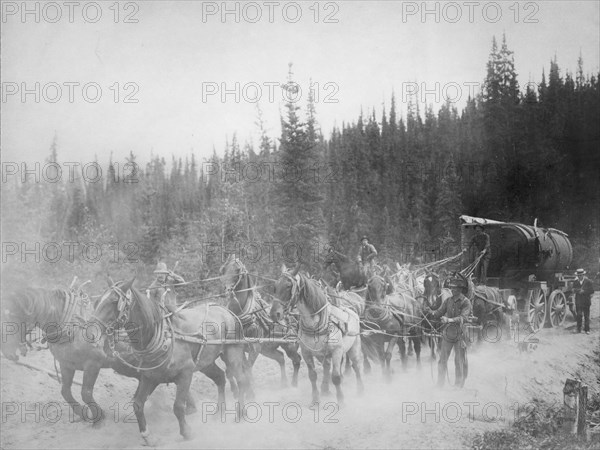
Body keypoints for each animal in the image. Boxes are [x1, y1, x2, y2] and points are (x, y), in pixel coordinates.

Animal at [90, 278, 250, 442]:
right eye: (96, 302)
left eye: (113, 301)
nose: (90, 332)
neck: (161, 337)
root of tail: (226, 311)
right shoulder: (149, 377)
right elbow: (138, 404)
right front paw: (146, 435)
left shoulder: (186, 373)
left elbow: (178, 406)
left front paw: (186, 432)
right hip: (206, 362)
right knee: (220, 378)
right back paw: (219, 413)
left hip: (232, 354)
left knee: (241, 380)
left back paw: (240, 413)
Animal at [220, 255, 302, 388]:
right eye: (223, 270)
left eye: (238, 270)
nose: (227, 291)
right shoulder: (240, 348)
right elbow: (237, 370)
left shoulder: (255, 347)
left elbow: (247, 368)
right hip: (267, 349)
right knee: (281, 357)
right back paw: (284, 383)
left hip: (289, 345)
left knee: (296, 360)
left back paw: (294, 384)